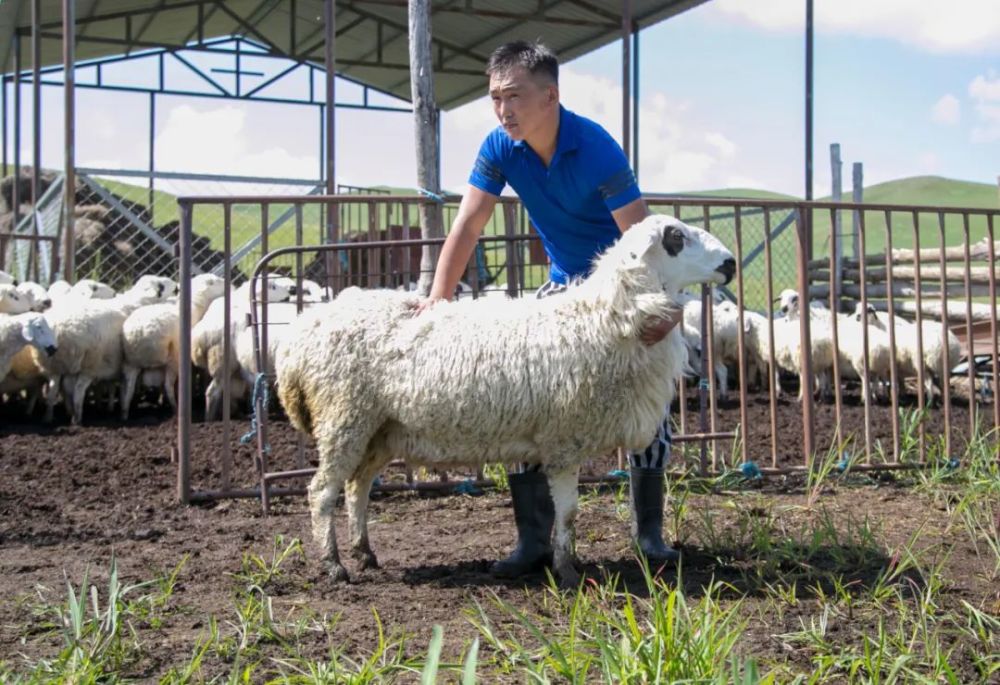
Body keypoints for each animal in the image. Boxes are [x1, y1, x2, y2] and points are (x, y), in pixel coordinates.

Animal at [120, 272, 224, 416]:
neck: (194, 303)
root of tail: (140, 333)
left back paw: (125, 413)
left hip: (131, 363)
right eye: (215, 282)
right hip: (172, 361)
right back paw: (175, 408)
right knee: (168, 386)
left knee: (128, 390)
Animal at [274, 215, 736, 588]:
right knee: (321, 491)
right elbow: (569, 513)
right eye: (676, 237)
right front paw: (567, 573)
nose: (730, 264)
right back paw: (335, 566)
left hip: (379, 429)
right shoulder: (563, 440)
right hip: (343, 416)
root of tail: (302, 332)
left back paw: (365, 553)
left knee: (358, 487)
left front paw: (563, 564)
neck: (607, 319)